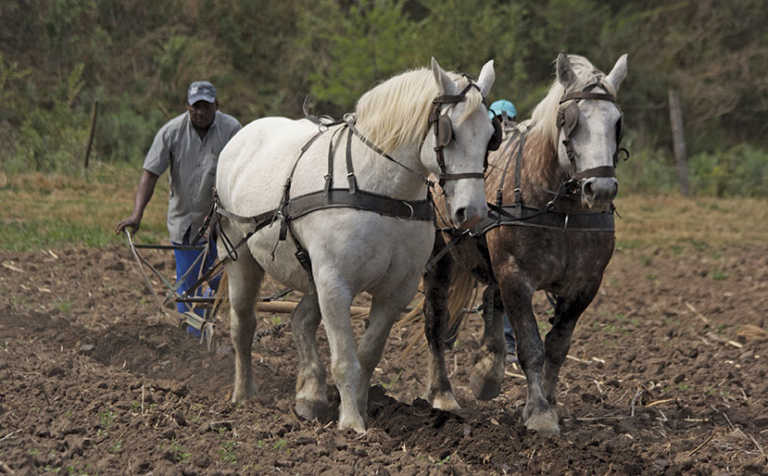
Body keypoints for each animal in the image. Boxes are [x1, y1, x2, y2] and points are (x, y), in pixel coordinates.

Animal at [214, 57, 498, 434]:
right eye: (447, 133)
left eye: (490, 137)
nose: (473, 212)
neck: (378, 188)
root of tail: (243, 136)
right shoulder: (335, 283)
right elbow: (345, 358)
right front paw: (351, 424)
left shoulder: (396, 289)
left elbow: (367, 355)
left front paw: (359, 408)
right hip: (240, 255)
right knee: (243, 325)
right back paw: (244, 395)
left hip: (310, 272)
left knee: (300, 320)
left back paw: (310, 396)